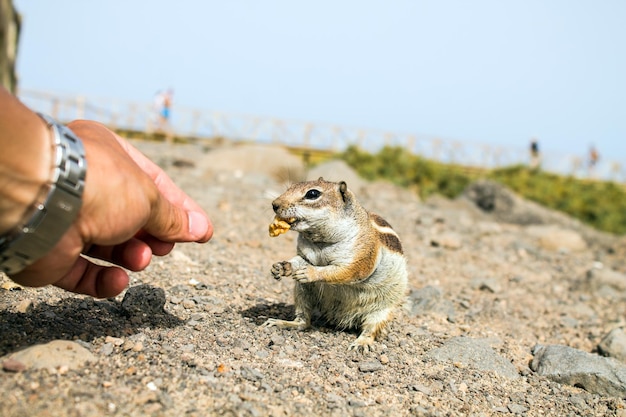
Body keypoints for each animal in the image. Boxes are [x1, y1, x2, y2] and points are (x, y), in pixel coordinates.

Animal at [260, 177, 408, 350]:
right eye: (291, 187)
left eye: (312, 194)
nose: (274, 204)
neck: (321, 242)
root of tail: (341, 316)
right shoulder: (305, 254)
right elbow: (300, 260)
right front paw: (281, 267)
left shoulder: (361, 256)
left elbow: (343, 271)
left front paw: (309, 272)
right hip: (302, 293)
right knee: (304, 321)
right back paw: (283, 323)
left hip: (382, 309)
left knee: (371, 329)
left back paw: (361, 343)